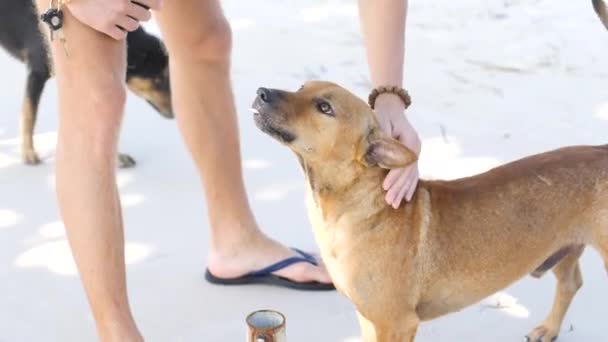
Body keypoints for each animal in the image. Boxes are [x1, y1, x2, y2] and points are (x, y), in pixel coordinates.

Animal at [0, 0, 172, 168]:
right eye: (158, 80)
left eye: (168, 77)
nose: (174, 114)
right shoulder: (37, 72)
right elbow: (29, 115)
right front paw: (28, 152)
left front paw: (117, 157)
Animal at [252, 81, 608, 340]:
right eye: (302, 87)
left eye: (324, 108)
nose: (261, 92)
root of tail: (601, 150)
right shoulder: (369, 319)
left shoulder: (397, 324)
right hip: (563, 249)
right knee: (570, 284)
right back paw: (549, 329)